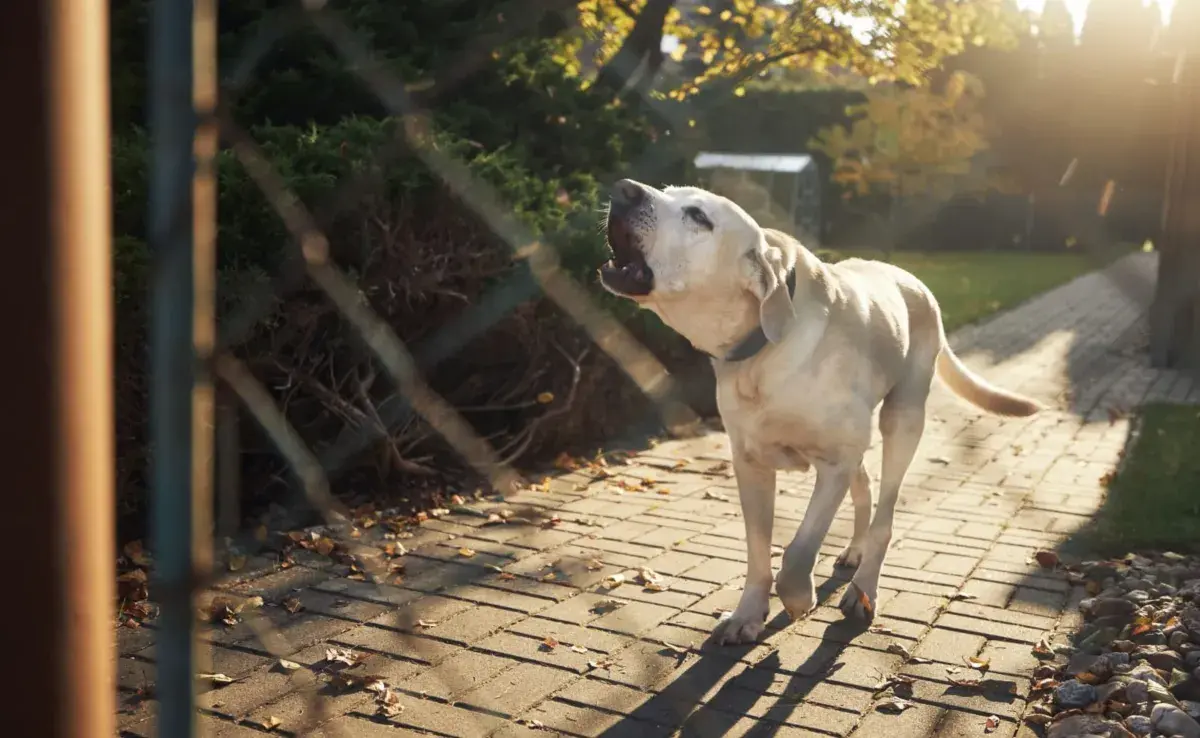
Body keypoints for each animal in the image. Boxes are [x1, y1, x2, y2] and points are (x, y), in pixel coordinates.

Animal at [600, 180, 1041, 648]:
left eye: (699, 216)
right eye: (666, 192)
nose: (624, 189)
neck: (763, 351)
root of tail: (914, 281)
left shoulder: (834, 464)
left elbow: (797, 552)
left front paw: (797, 600)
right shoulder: (751, 465)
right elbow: (758, 551)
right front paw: (747, 614)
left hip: (902, 420)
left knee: (884, 514)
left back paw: (864, 588)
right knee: (864, 490)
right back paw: (855, 551)